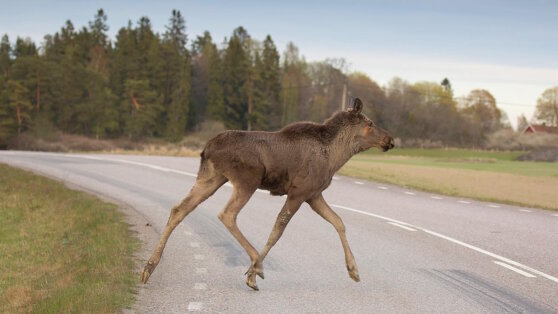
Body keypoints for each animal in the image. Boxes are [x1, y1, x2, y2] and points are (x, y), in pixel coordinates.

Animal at [141, 97, 394, 290]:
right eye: (370, 123)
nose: (390, 139)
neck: (335, 156)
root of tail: (207, 148)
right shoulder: (299, 192)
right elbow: (277, 230)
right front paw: (252, 274)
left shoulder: (314, 195)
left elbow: (339, 222)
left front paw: (353, 270)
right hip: (247, 180)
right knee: (226, 214)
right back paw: (256, 262)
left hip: (211, 178)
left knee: (179, 209)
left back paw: (148, 267)